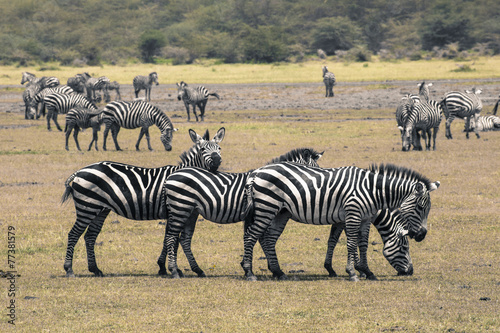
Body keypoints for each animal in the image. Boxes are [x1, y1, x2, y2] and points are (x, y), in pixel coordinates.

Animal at [61, 126, 227, 276]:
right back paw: (69, 269)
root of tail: (80, 171)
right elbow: (171, 239)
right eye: (202, 149)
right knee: (73, 234)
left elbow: (168, 239)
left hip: (100, 209)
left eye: (219, 148)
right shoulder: (174, 211)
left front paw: (164, 267)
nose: (217, 161)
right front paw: (168, 268)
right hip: (87, 207)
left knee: (90, 236)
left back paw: (95, 269)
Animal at [156, 148, 326, 278]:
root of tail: (169, 177)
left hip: (190, 211)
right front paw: (255, 268)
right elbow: (260, 238)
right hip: (180, 207)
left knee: (183, 238)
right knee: (171, 237)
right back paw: (174, 271)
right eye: (314, 169)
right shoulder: (259, 212)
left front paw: (249, 266)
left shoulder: (252, 215)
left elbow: (257, 238)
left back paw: (197, 270)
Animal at [240, 161, 440, 280]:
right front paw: (353, 272)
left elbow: (356, 243)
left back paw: (278, 272)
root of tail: (256, 172)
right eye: (421, 208)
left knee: (268, 238)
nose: (422, 235)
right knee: (251, 236)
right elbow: (351, 243)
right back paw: (249, 272)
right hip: (267, 206)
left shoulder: (360, 219)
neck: (373, 192)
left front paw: (364, 270)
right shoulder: (352, 214)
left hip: (281, 212)